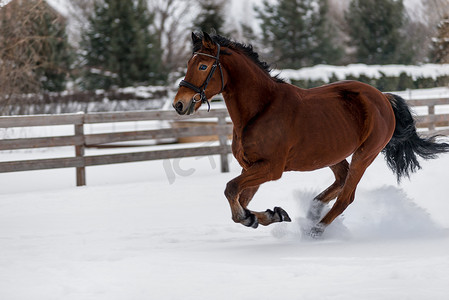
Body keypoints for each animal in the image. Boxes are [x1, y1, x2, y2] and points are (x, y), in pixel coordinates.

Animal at [172, 31, 448, 237]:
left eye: (203, 65)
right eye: (188, 64)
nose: (179, 104)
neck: (260, 109)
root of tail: (382, 97)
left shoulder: (271, 168)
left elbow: (231, 190)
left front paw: (255, 217)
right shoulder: (250, 167)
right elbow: (241, 200)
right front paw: (270, 215)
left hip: (365, 154)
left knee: (346, 195)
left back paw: (315, 229)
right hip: (333, 153)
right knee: (341, 181)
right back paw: (313, 211)